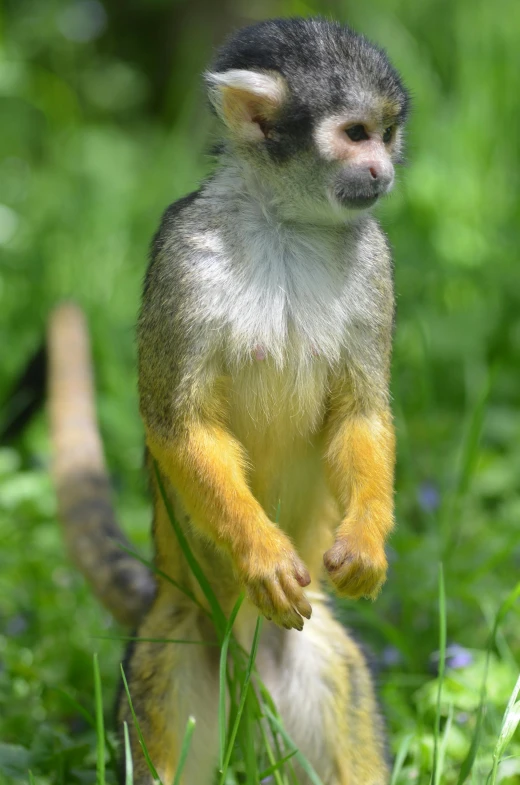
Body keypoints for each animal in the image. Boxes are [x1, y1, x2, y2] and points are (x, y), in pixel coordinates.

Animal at [48, 15, 408, 784]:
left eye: (388, 134)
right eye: (355, 133)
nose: (383, 170)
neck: (285, 219)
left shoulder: (377, 256)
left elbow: (361, 412)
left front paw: (366, 542)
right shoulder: (181, 251)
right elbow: (177, 421)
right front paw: (260, 553)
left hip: (305, 657)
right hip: (175, 636)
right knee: (163, 694)